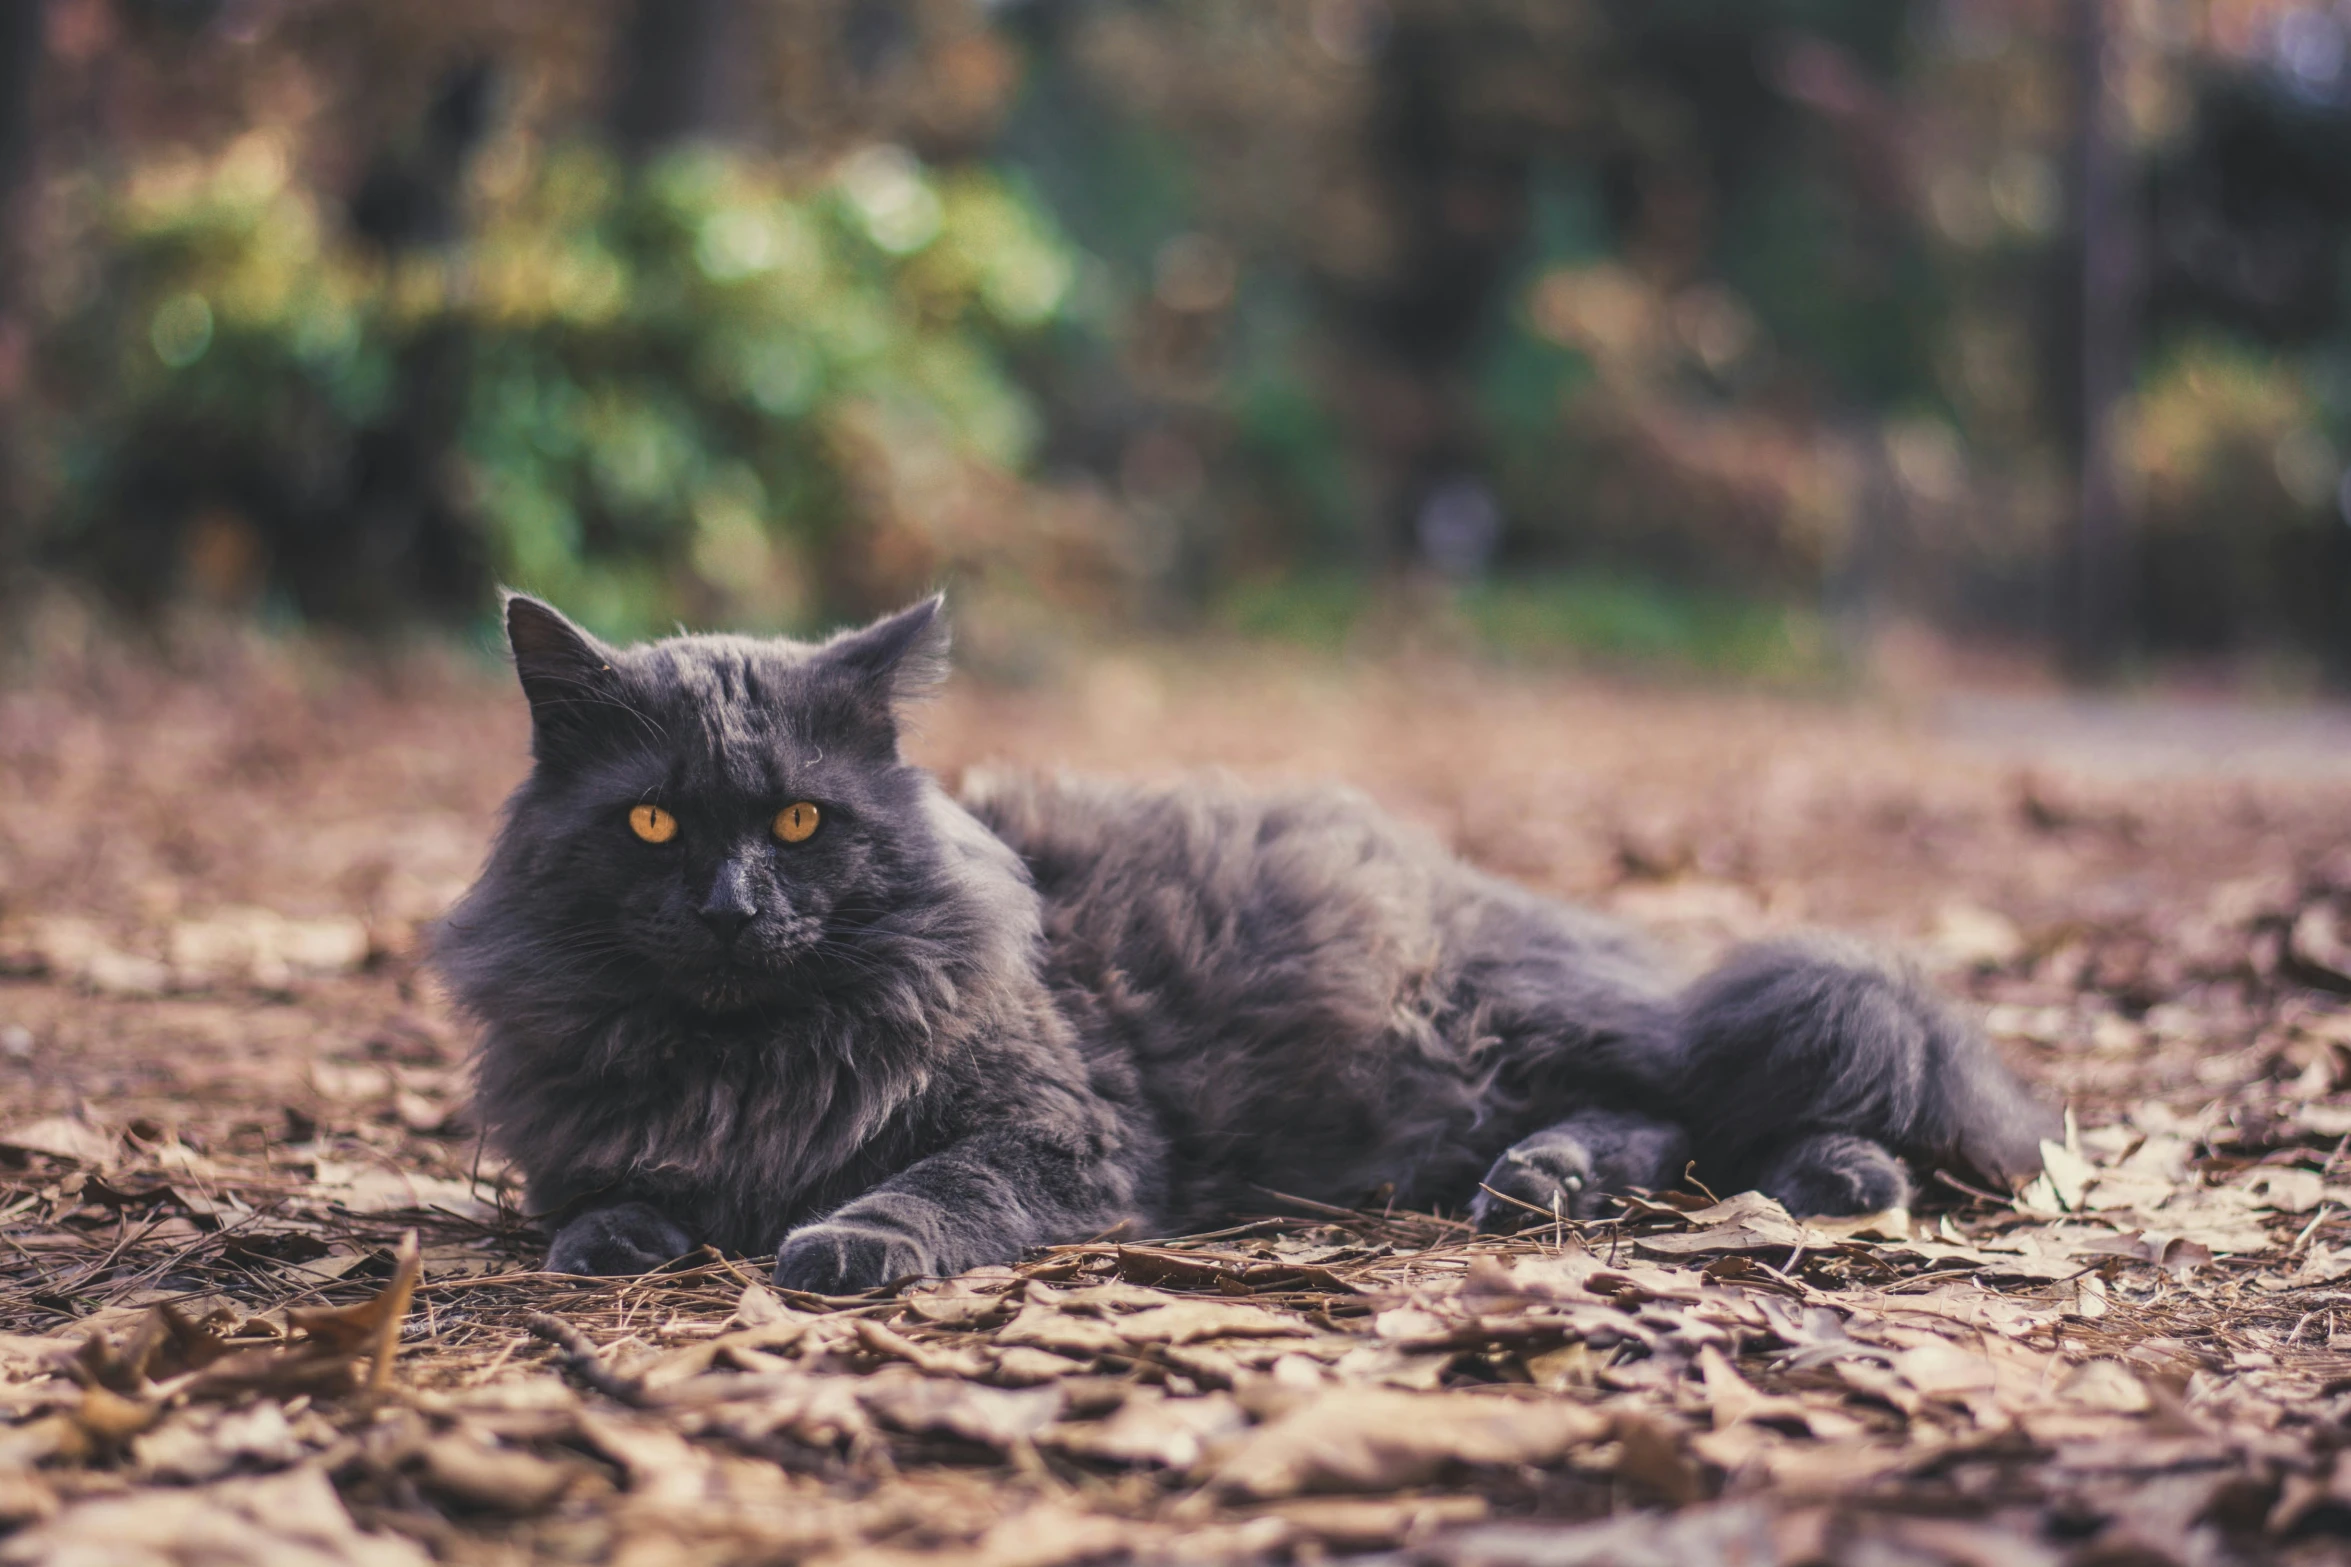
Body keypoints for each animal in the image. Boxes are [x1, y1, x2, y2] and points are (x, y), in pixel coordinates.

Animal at [432, 594, 2050, 1296]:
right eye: (651, 824)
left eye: (795, 820)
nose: (731, 907)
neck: (747, 1053)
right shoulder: (583, 1130)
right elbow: (602, 1190)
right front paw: (620, 1233)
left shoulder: (1065, 1126)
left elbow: (937, 1181)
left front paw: (848, 1238)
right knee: (1658, 1120)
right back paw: (1552, 1184)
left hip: (1535, 1019)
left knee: (1753, 1090)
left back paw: (1820, 1181)